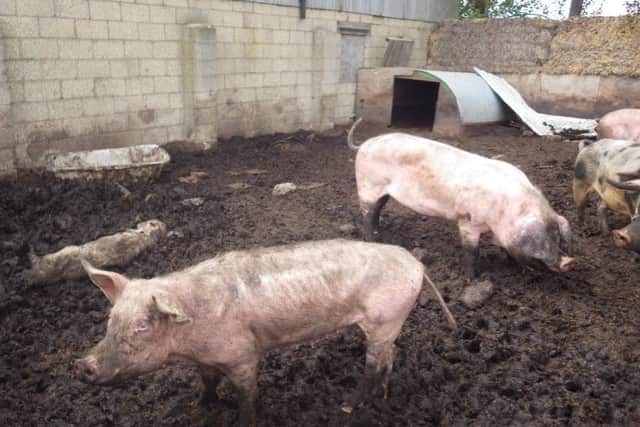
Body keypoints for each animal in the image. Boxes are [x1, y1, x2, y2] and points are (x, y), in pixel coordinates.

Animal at [74, 239, 456, 427]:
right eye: (111, 318)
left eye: (141, 326)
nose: (83, 365)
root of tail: (417, 263)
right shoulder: (206, 360)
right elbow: (207, 382)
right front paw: (197, 407)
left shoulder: (243, 355)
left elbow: (246, 395)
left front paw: (243, 419)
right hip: (391, 322)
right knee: (391, 356)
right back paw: (384, 396)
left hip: (383, 317)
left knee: (374, 364)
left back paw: (349, 407)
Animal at [346, 118, 574, 277]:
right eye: (545, 237)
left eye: (557, 235)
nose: (568, 261)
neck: (506, 212)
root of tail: (364, 145)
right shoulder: (468, 221)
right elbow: (471, 251)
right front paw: (474, 278)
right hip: (367, 185)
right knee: (366, 213)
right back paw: (374, 239)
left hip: (381, 191)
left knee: (377, 209)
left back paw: (379, 233)